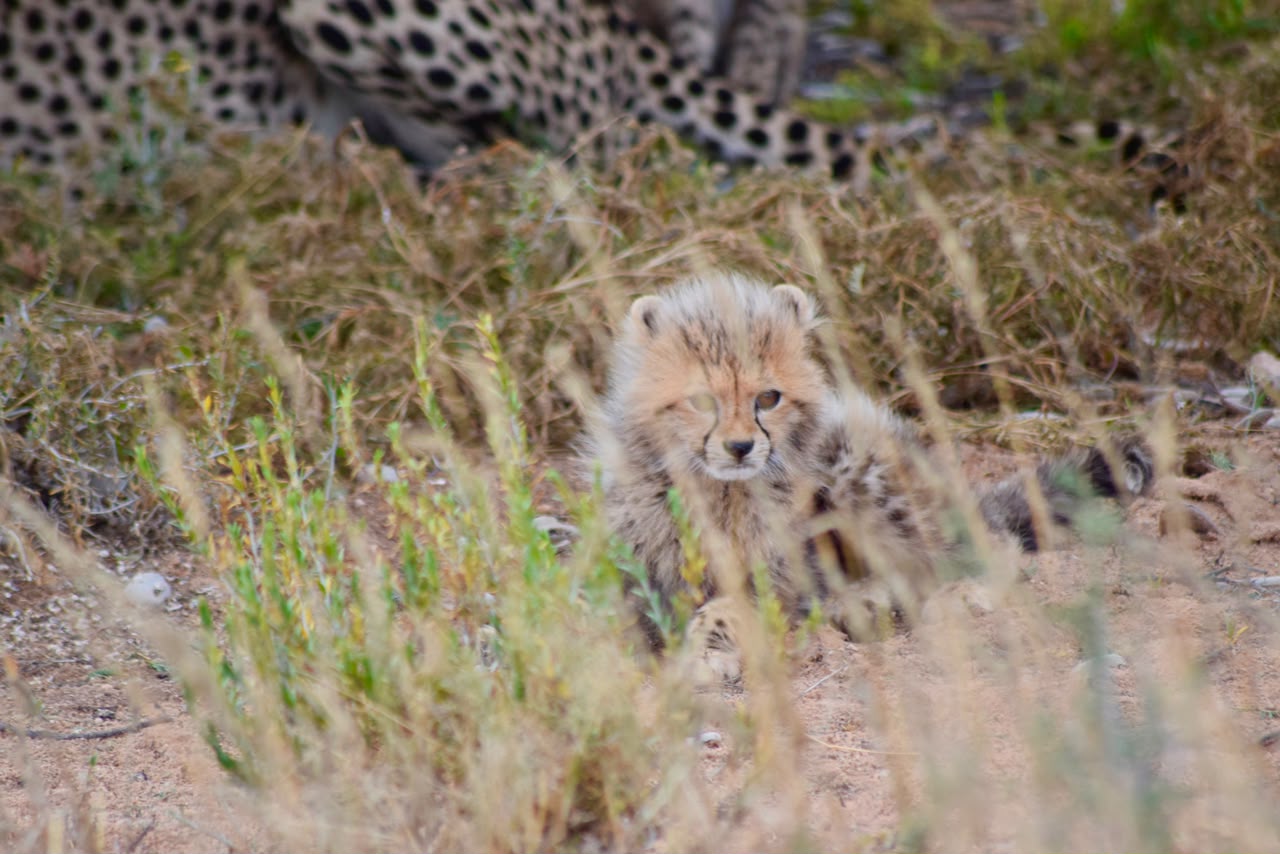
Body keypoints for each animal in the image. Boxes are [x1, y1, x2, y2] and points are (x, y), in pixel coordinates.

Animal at [582, 272, 1154, 682]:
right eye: (702, 401)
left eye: (768, 398)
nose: (741, 447)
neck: (717, 490)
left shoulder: (780, 580)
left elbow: (723, 608)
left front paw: (703, 651)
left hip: (854, 463)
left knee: (979, 547)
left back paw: (945, 597)